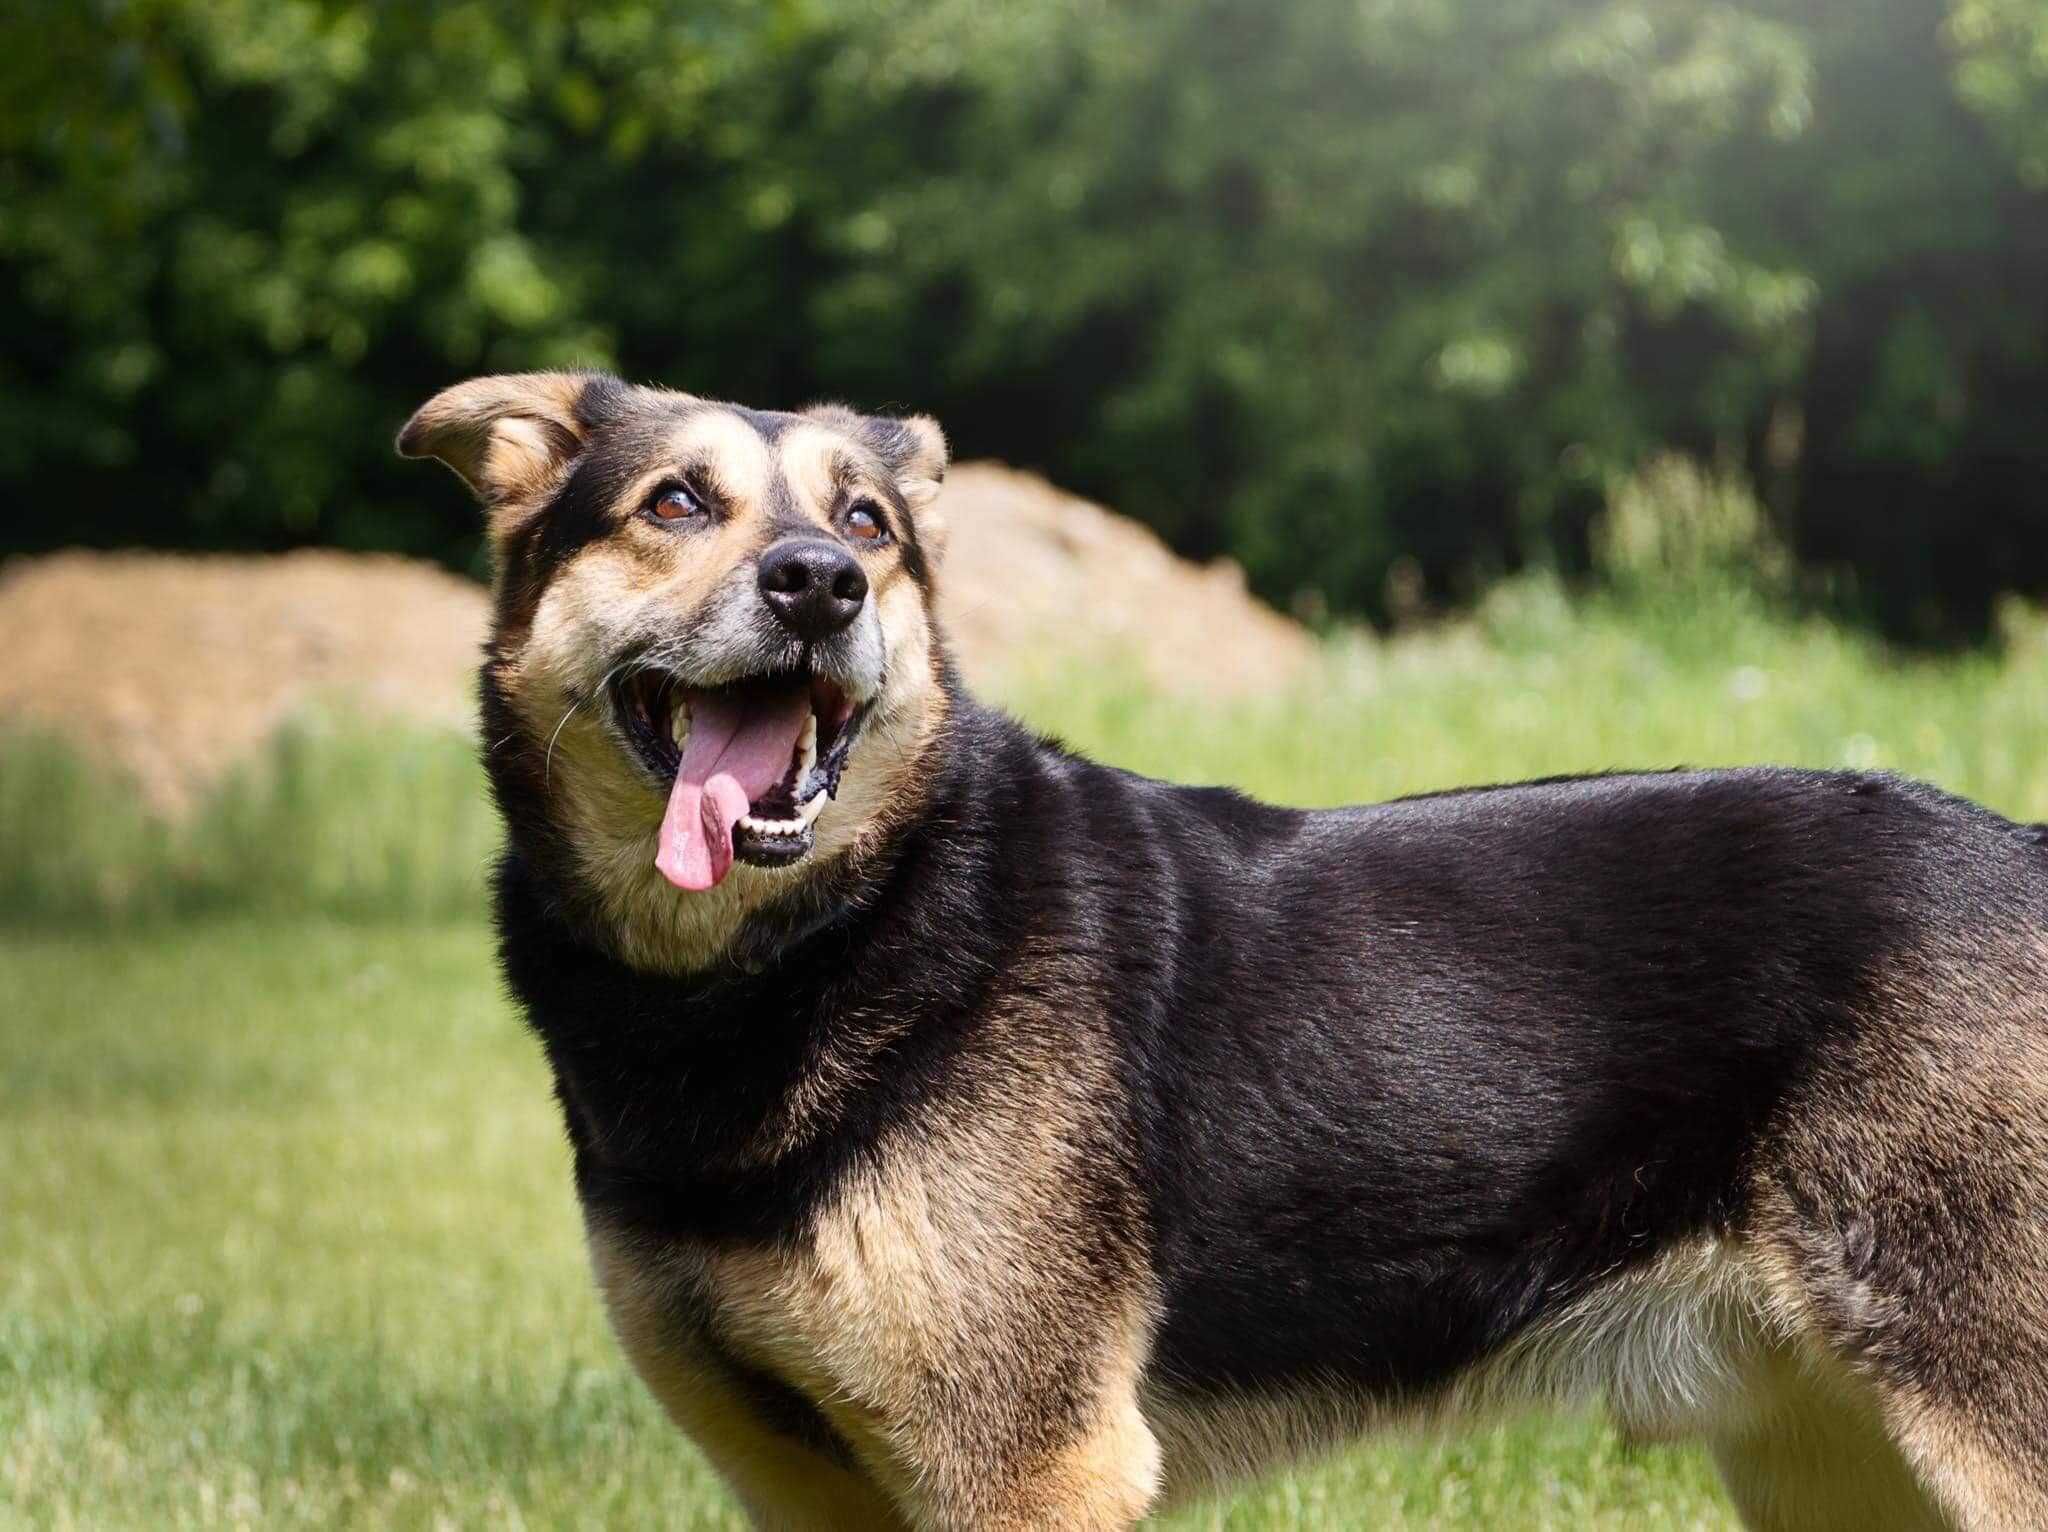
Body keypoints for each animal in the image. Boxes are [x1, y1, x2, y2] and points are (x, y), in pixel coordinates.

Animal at [403, 374, 2048, 1532]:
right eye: (676, 503)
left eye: (866, 524)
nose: (822, 585)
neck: (821, 939)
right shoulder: (804, 1486)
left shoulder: (1027, 1469)